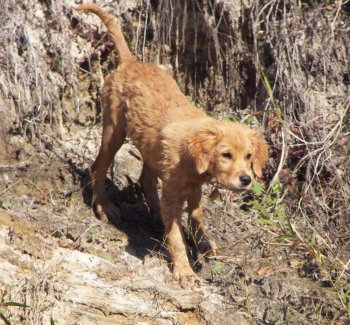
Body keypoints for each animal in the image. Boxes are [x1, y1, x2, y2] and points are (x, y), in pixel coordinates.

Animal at [76, 3, 268, 286]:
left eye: (248, 156)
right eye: (226, 154)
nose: (246, 180)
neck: (192, 157)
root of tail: (131, 61)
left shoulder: (193, 189)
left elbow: (197, 217)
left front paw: (205, 245)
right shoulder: (174, 191)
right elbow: (176, 235)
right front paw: (184, 269)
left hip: (149, 148)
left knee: (145, 178)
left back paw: (154, 211)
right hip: (113, 130)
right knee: (97, 168)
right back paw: (105, 207)